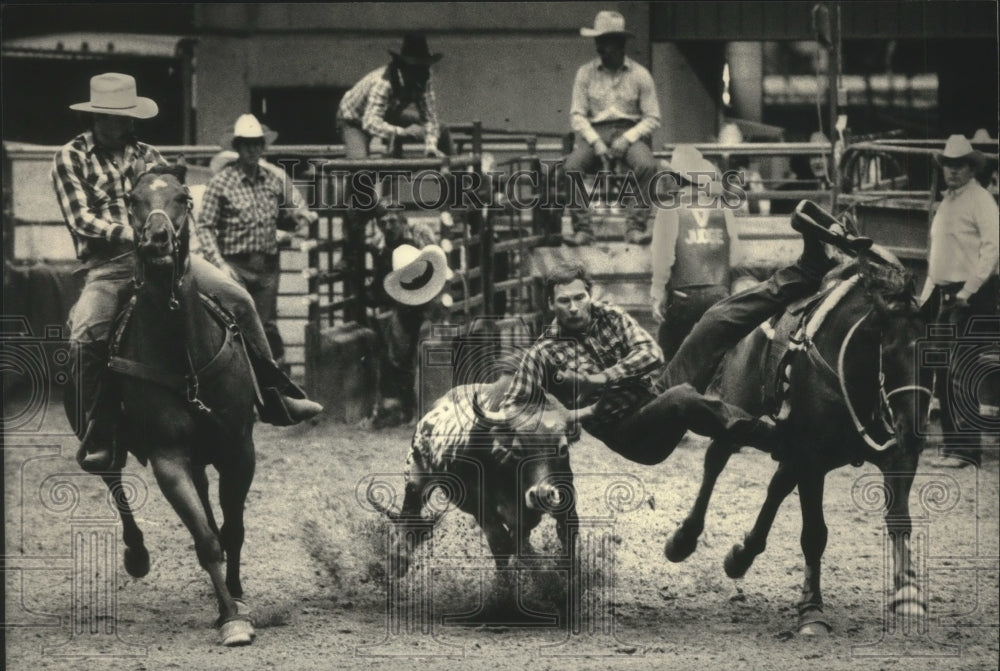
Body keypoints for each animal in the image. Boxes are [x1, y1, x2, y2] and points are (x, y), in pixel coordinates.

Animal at [99, 165, 258, 648]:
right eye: (131, 199)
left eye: (184, 197)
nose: (156, 239)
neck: (181, 350)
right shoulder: (168, 458)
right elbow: (205, 539)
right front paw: (231, 619)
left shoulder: (239, 449)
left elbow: (232, 530)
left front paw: (237, 597)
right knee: (111, 476)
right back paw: (136, 555)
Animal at [660, 252, 932, 636]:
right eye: (889, 353)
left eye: (935, 355)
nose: (914, 428)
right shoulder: (811, 459)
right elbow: (814, 534)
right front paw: (811, 610)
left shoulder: (898, 456)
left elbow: (899, 519)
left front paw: (908, 591)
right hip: (737, 412)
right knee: (716, 461)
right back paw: (685, 539)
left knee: (776, 485)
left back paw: (742, 555)